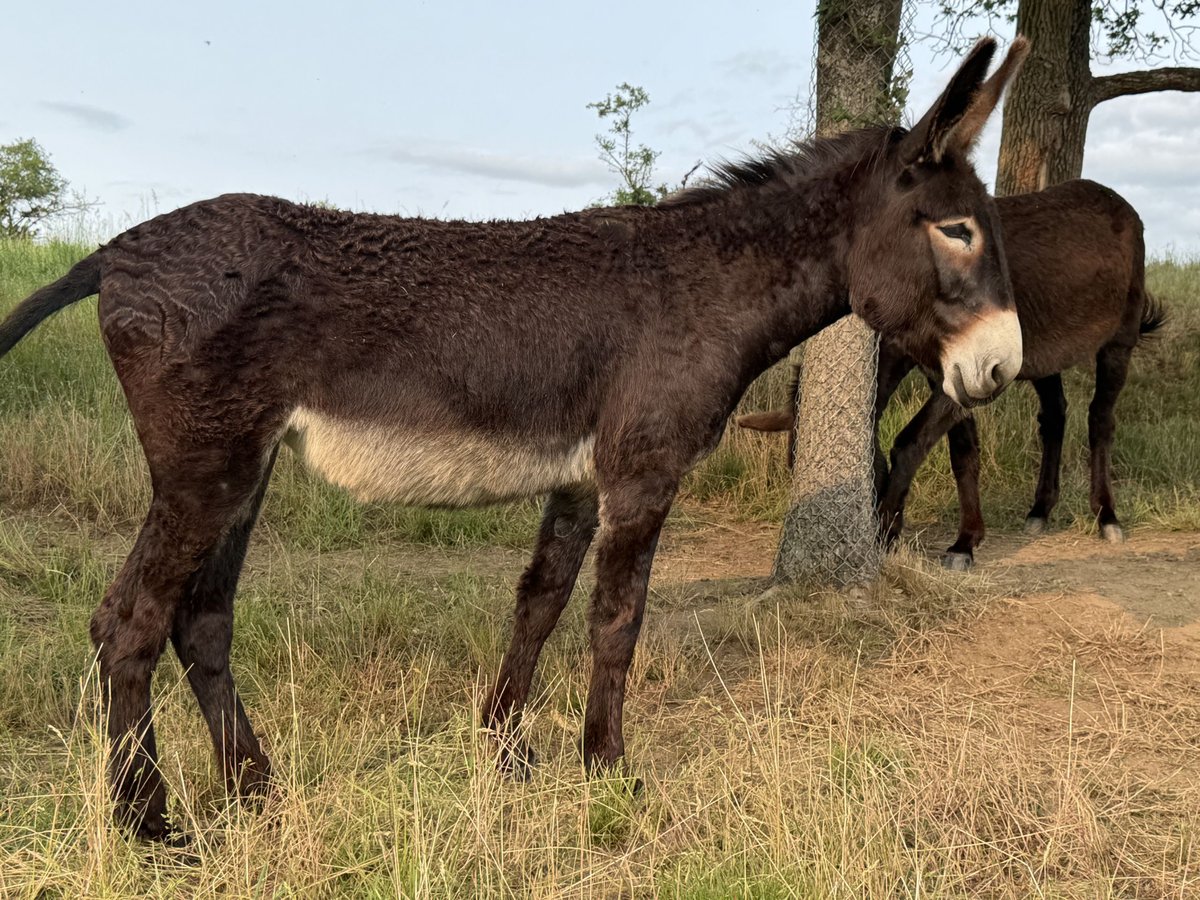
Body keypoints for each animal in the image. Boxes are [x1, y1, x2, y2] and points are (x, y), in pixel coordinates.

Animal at [0, 38, 1027, 841]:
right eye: (957, 229)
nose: (1002, 369)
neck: (704, 284)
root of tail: (115, 252)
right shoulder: (641, 471)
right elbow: (616, 620)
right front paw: (610, 771)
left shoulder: (579, 477)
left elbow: (538, 601)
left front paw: (505, 754)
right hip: (203, 470)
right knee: (127, 621)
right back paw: (149, 825)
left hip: (240, 472)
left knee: (198, 620)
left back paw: (256, 795)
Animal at [738, 178, 1164, 569]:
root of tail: (1118, 201)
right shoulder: (953, 375)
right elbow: (963, 450)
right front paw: (966, 539)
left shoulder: (966, 373)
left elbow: (909, 443)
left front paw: (887, 533)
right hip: (1045, 353)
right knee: (1055, 415)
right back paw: (1040, 509)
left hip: (1119, 341)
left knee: (1101, 419)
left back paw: (1106, 515)